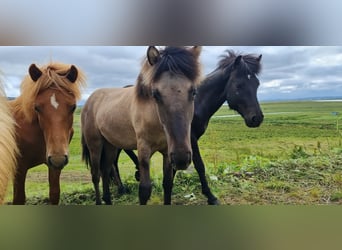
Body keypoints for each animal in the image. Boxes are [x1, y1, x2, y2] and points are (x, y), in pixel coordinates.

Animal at [9, 61, 85, 204]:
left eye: (73, 107)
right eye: (37, 107)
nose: (58, 158)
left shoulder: (54, 166)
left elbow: (54, 193)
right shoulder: (19, 169)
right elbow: (19, 198)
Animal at [81, 46, 202, 205]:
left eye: (194, 92)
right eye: (155, 94)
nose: (181, 158)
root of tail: (89, 100)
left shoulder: (167, 153)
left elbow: (168, 184)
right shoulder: (143, 150)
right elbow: (144, 190)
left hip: (110, 145)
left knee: (106, 171)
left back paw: (108, 200)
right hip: (94, 145)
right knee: (95, 174)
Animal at [111, 49, 264, 204]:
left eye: (257, 84)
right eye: (239, 85)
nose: (257, 118)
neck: (198, 102)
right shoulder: (190, 138)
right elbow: (199, 165)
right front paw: (211, 196)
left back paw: (123, 185)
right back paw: (124, 184)